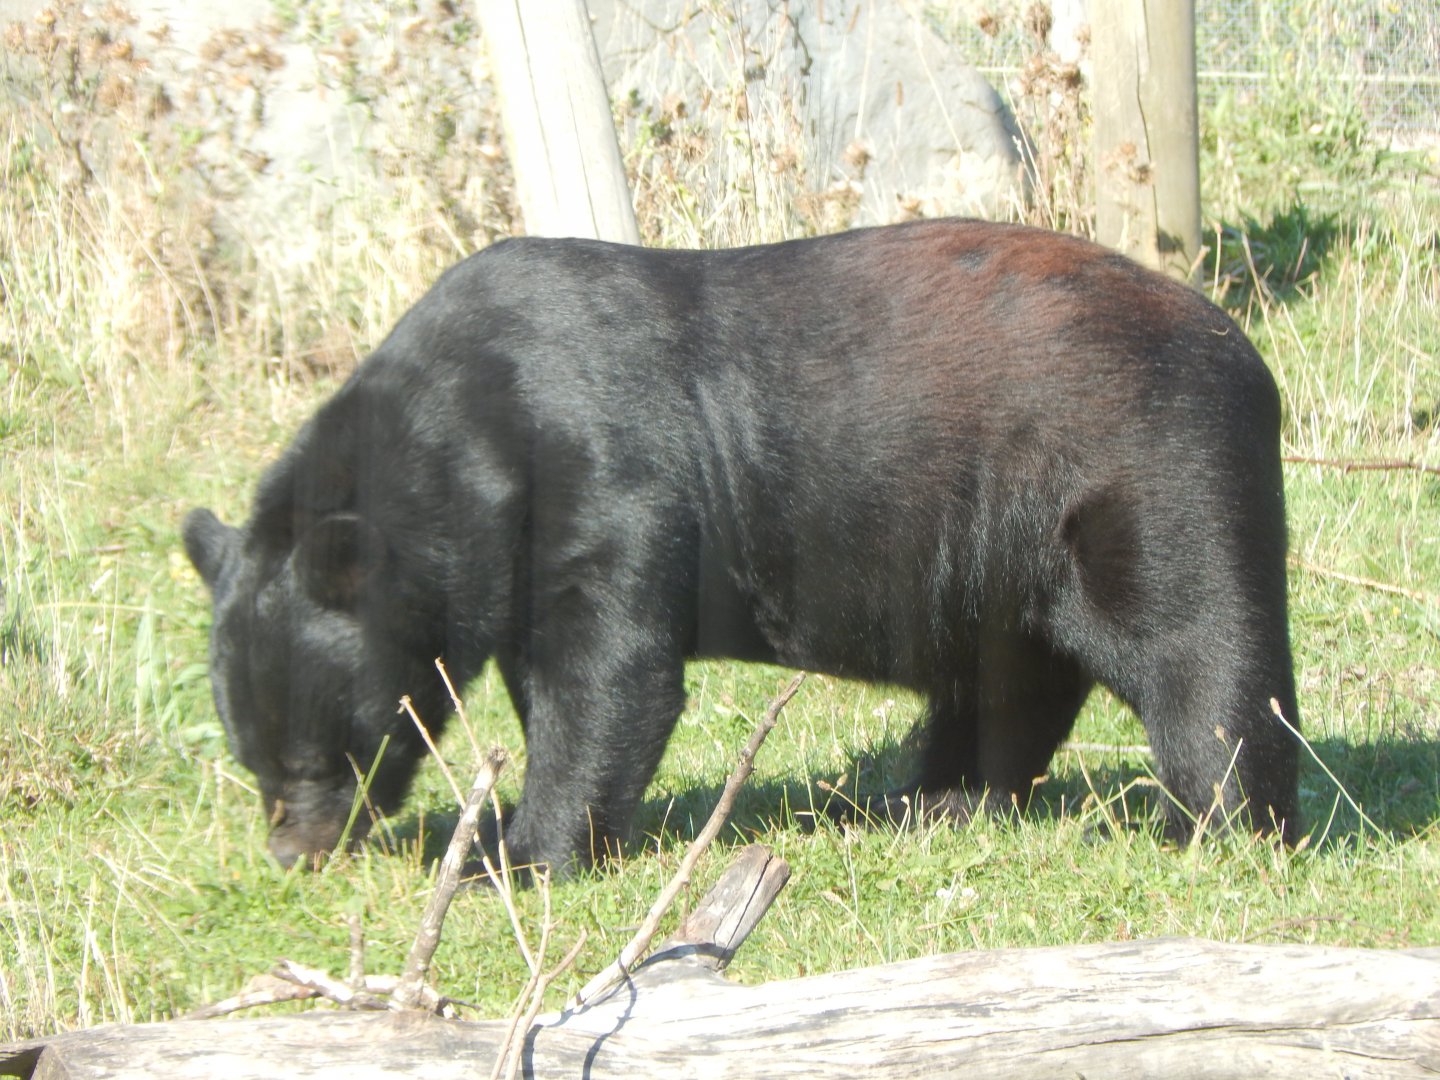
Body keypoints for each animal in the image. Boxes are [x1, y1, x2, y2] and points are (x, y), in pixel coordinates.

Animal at [183, 219, 1301, 873]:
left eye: (315, 756)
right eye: (250, 758)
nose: (291, 852)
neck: (470, 434)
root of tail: (1243, 351)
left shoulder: (606, 464)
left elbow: (613, 671)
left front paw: (520, 853)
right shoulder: (517, 555)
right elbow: (548, 672)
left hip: (1145, 467)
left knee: (1200, 650)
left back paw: (1221, 824)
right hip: (1001, 550)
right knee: (1009, 682)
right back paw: (931, 801)